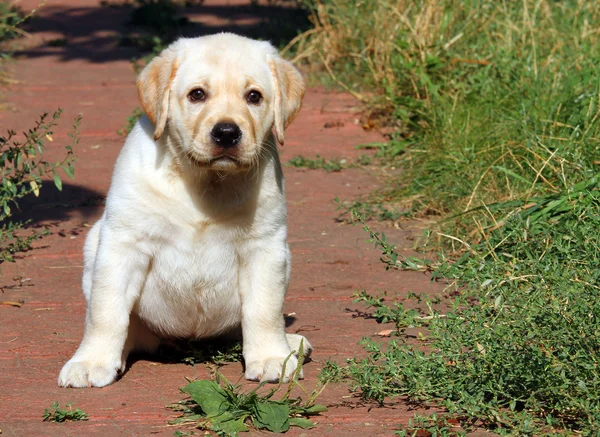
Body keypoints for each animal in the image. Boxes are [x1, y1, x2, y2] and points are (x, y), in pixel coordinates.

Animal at [57, 35, 310, 388]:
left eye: (254, 96)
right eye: (197, 94)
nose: (227, 133)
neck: (206, 182)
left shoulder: (265, 247)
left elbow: (264, 310)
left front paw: (272, 356)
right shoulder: (123, 245)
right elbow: (105, 311)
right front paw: (91, 362)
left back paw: (291, 344)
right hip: (94, 242)